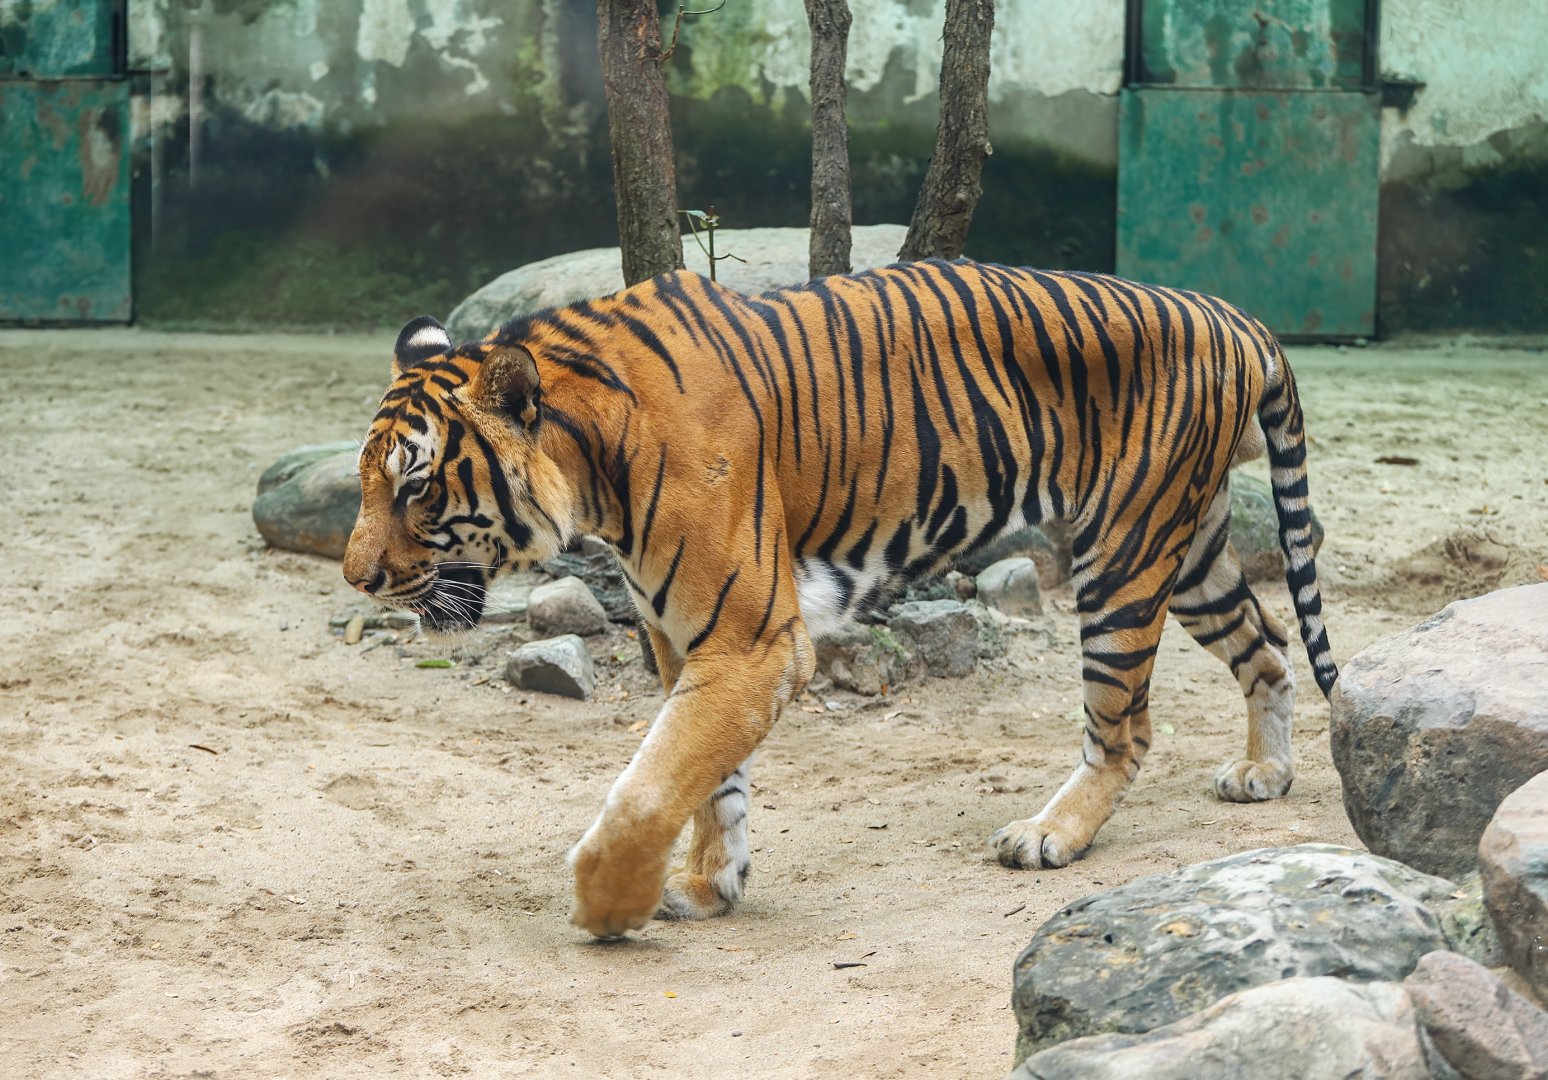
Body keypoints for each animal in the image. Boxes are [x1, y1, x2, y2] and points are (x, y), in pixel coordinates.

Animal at [343, 258, 1338, 939]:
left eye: (417, 487)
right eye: (366, 480)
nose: (356, 578)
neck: (594, 467)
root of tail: (1233, 313)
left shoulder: (751, 637)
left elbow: (653, 780)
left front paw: (608, 902)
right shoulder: (688, 637)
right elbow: (708, 779)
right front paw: (710, 884)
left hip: (1123, 552)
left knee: (1123, 725)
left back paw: (1049, 834)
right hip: (1191, 548)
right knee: (1269, 646)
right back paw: (1266, 773)